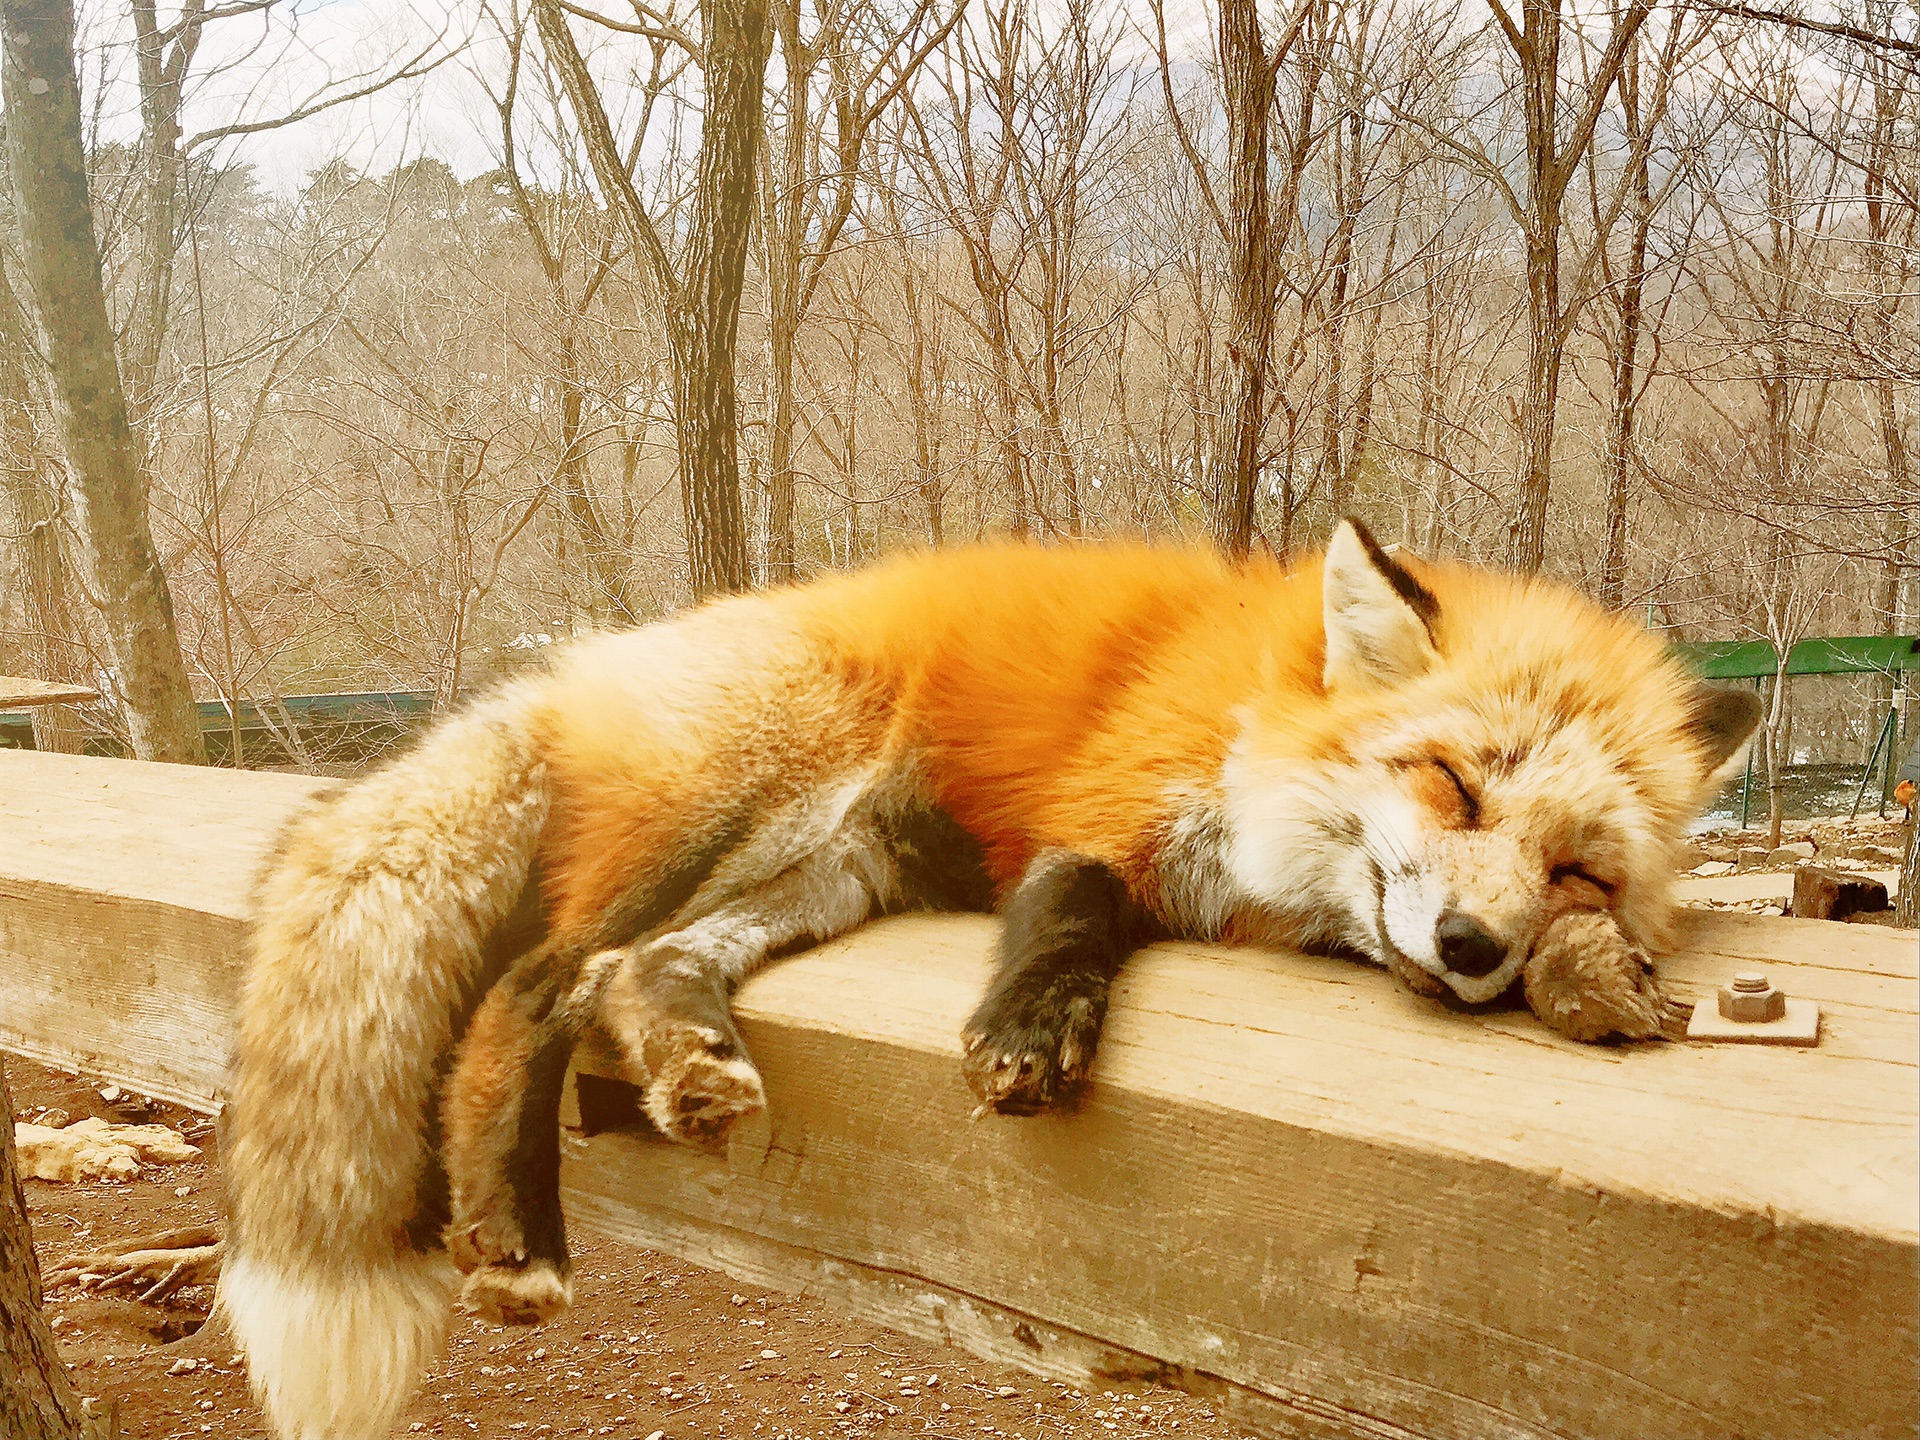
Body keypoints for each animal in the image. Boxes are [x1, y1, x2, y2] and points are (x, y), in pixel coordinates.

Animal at [220, 522, 1758, 1440]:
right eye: (1450, 782)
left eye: (1578, 870)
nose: (1475, 950)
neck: (1252, 701)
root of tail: (580, 660)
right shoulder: (1114, 795)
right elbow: (1072, 911)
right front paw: (1031, 1029)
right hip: (736, 807)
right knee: (533, 987)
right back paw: (517, 1227)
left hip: (836, 860)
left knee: (629, 969)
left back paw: (689, 1062)